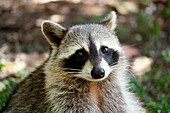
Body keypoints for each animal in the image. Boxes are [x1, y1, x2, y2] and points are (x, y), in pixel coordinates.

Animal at [1, 11, 145, 112]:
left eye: (104, 50)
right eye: (80, 53)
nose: (99, 72)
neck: (94, 84)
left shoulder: (114, 95)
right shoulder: (63, 99)